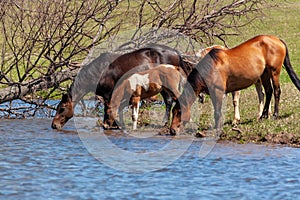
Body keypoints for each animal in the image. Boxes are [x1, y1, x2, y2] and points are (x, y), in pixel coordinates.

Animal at [170, 35, 300, 135]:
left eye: (179, 112)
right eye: (173, 112)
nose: (172, 130)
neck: (211, 67)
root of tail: (277, 39)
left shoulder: (218, 91)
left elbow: (218, 111)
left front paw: (218, 127)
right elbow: (217, 109)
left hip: (274, 72)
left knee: (277, 91)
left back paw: (275, 115)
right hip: (264, 74)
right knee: (268, 92)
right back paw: (263, 116)